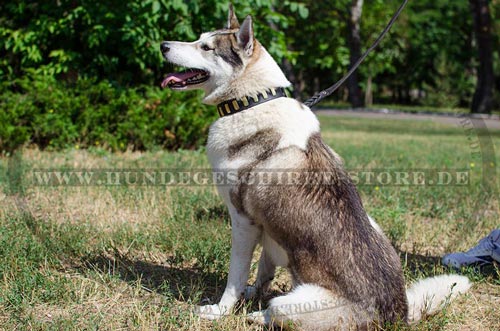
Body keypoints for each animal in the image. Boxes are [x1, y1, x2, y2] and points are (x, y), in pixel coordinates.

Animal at [161, 5, 472, 331]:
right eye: (198, 38)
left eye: (206, 47)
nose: (163, 46)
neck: (251, 101)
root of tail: (398, 313)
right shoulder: (268, 228)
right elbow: (263, 270)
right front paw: (252, 292)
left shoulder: (243, 221)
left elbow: (235, 277)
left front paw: (221, 310)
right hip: (374, 226)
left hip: (292, 305)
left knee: (276, 309)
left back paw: (258, 315)